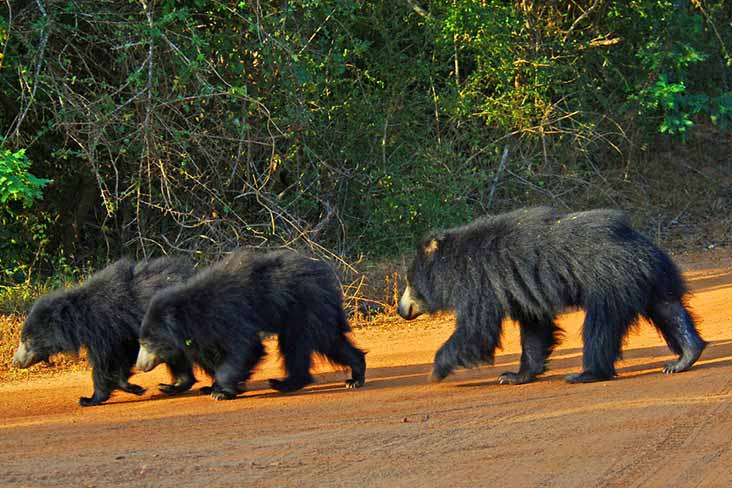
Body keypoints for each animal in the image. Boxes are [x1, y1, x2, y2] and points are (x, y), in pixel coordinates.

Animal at [12, 258, 196, 406]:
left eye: (26, 341)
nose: (16, 362)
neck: (79, 319)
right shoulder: (122, 333)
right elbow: (123, 356)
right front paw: (132, 387)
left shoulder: (105, 328)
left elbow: (105, 362)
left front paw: (88, 399)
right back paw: (172, 386)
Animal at [136, 248, 366, 400]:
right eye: (141, 343)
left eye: (147, 344)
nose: (140, 366)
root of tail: (326, 277)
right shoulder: (204, 333)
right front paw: (196, 387)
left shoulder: (229, 316)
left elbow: (246, 349)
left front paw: (221, 392)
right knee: (329, 342)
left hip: (305, 308)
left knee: (299, 345)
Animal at [398, 208, 708, 386]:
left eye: (410, 283)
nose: (402, 310)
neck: (453, 261)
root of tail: (637, 243)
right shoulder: (519, 290)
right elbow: (535, 329)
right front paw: (513, 376)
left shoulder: (479, 283)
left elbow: (477, 330)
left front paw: (436, 370)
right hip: (650, 277)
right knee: (668, 308)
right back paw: (684, 358)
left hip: (610, 282)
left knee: (600, 327)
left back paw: (586, 374)